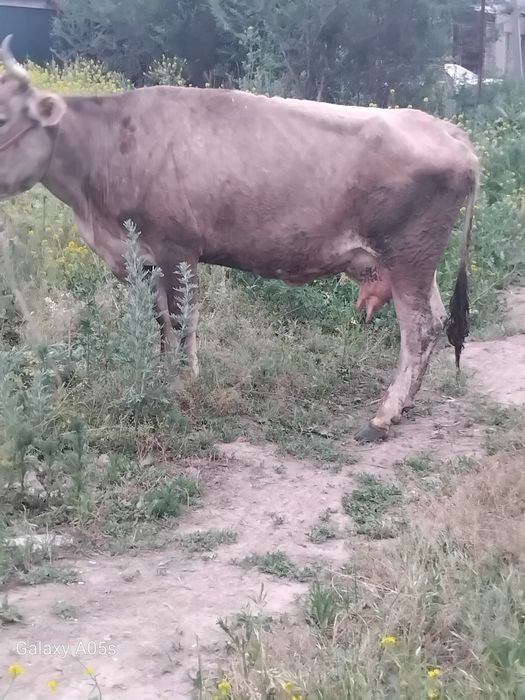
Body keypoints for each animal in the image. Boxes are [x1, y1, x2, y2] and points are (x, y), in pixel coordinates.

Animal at [0, 35, 480, 442]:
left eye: (5, 116)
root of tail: (449, 131)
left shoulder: (177, 248)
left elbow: (182, 321)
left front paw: (181, 382)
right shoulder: (143, 257)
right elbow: (159, 323)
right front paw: (161, 376)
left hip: (409, 256)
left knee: (419, 328)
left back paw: (383, 416)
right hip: (412, 263)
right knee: (436, 321)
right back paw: (402, 407)